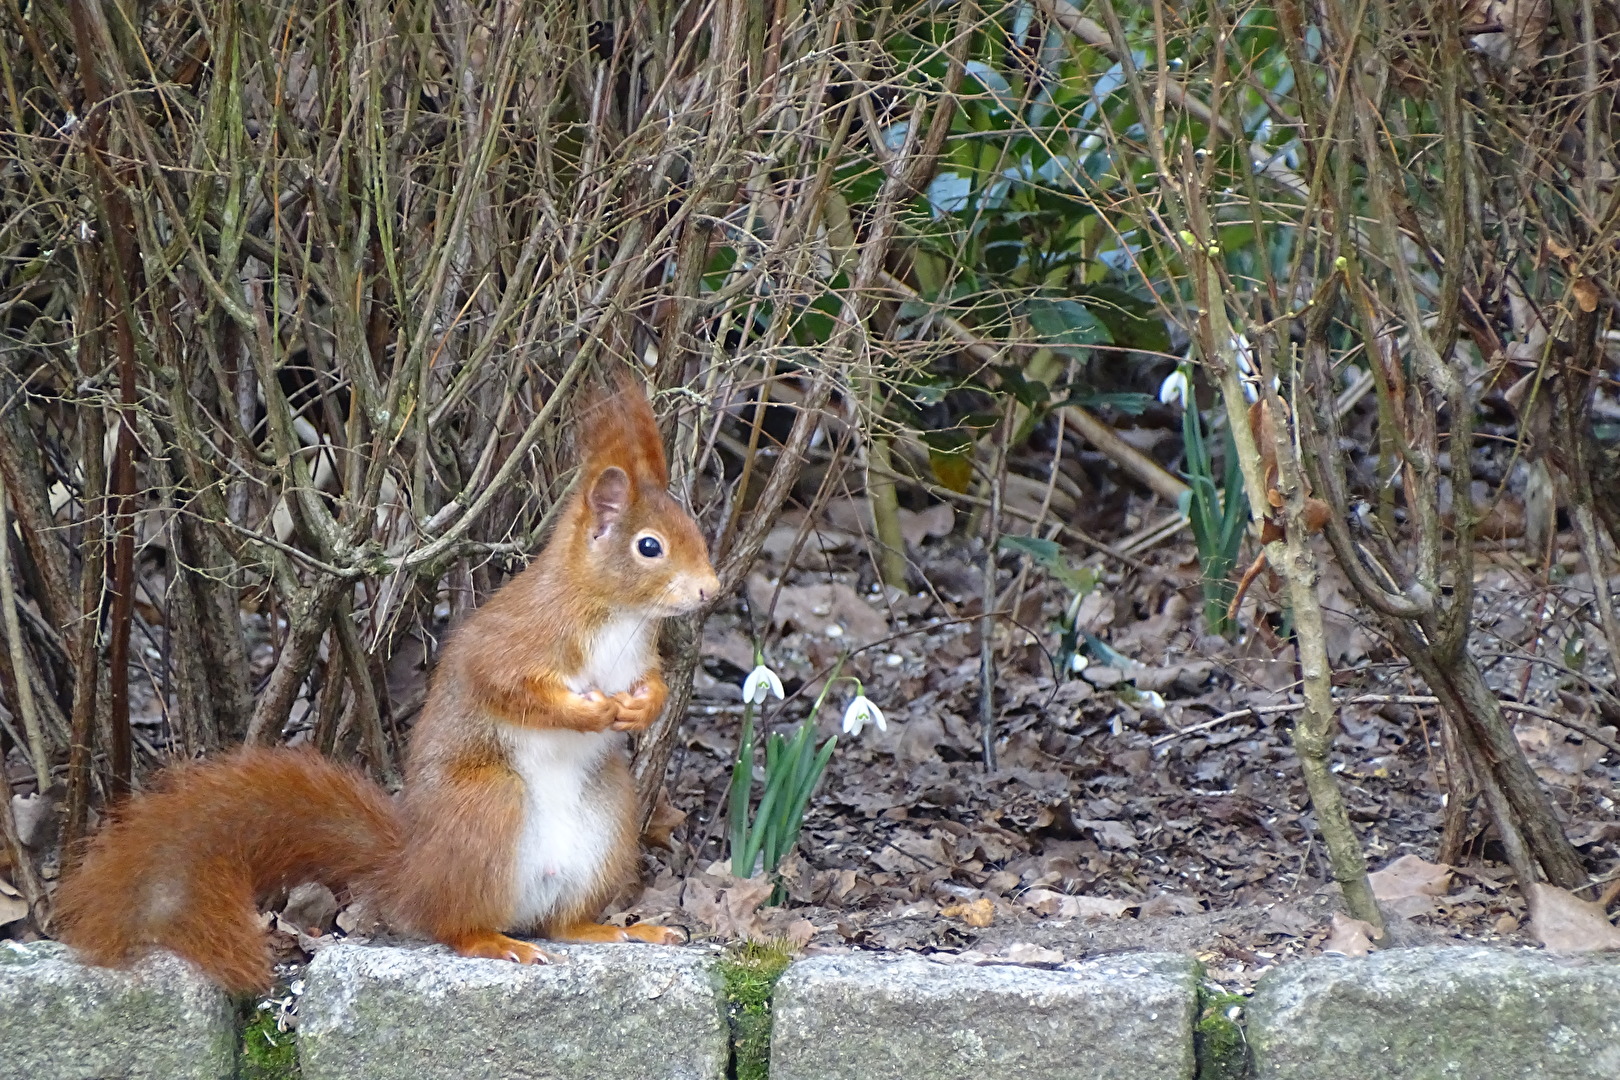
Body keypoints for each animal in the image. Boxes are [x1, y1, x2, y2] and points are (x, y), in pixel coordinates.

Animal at [53, 378, 719, 990]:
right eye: (650, 547)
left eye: (692, 529)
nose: (710, 591)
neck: (616, 613)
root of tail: (412, 871)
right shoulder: (519, 639)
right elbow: (508, 686)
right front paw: (588, 713)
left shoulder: (639, 656)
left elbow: (654, 684)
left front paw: (641, 708)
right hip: (488, 805)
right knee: (454, 925)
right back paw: (493, 941)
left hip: (607, 817)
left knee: (560, 922)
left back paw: (611, 929)